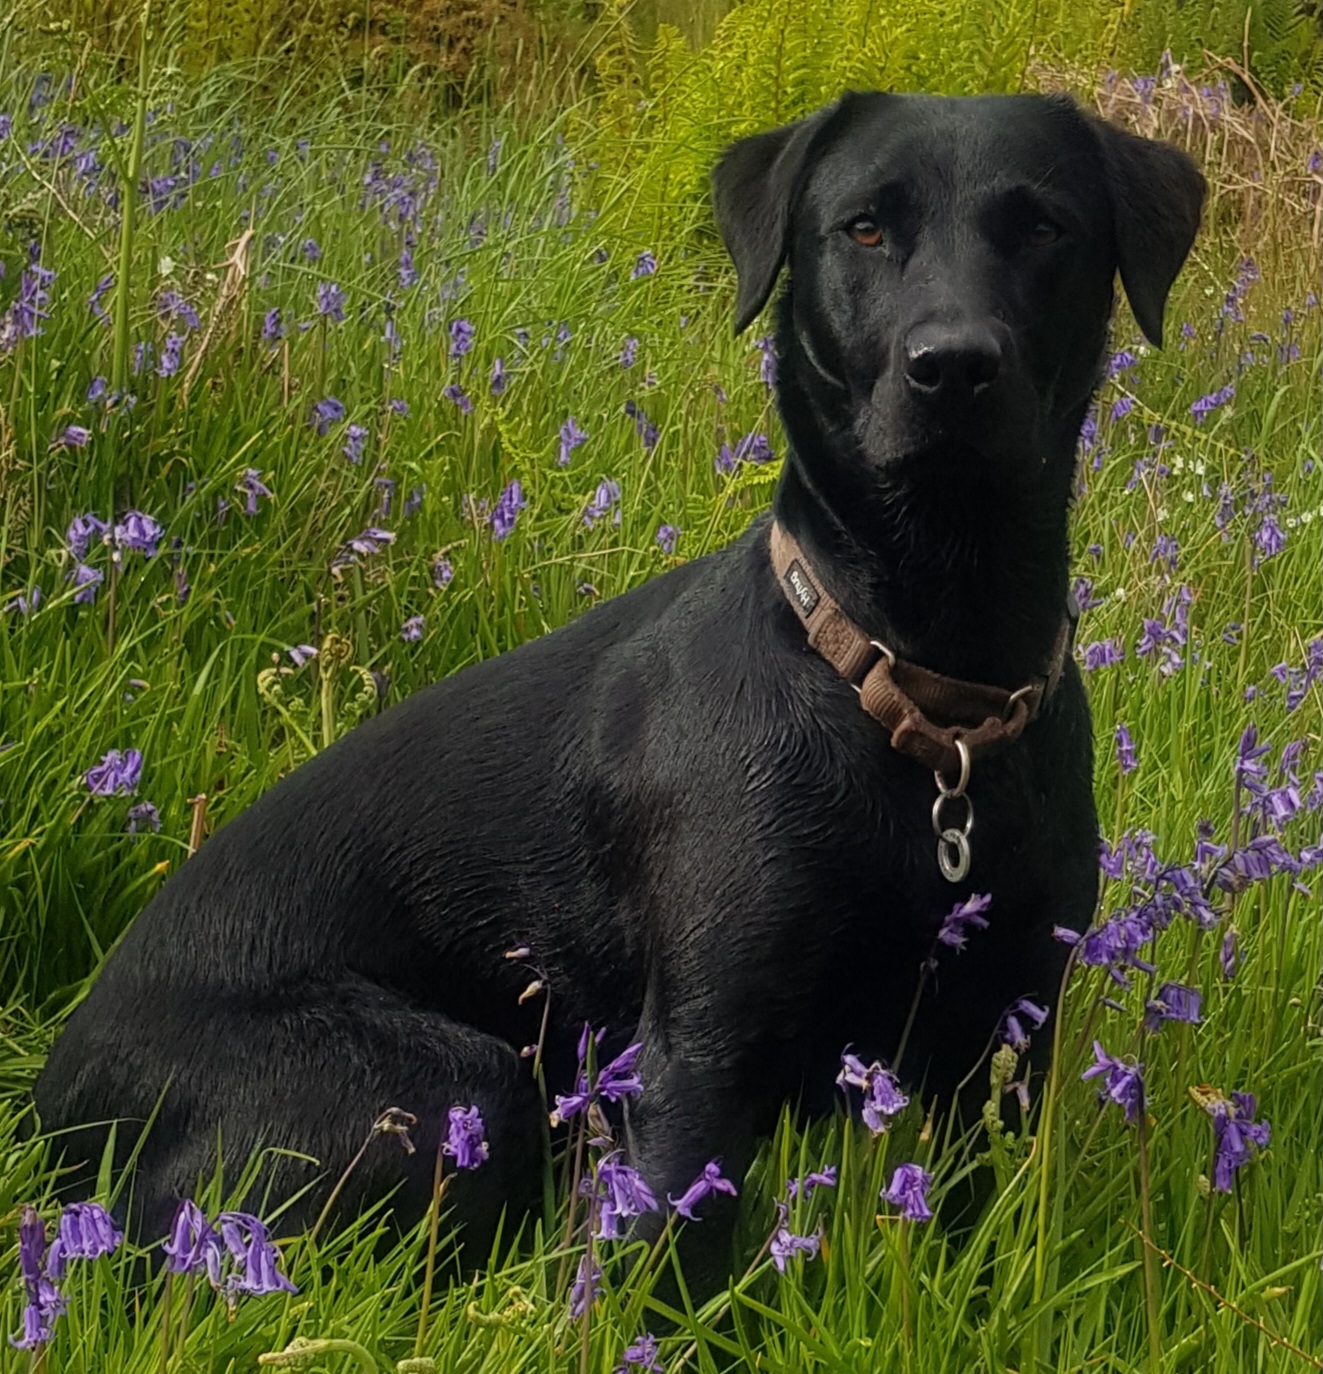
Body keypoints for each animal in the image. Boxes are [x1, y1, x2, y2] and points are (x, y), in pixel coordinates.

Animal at [36, 88, 1203, 1275]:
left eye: (1044, 228)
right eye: (866, 228)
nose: (953, 365)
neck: (918, 694)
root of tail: (55, 1101)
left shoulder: (1006, 1027)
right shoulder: (700, 1049)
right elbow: (671, 1265)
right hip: (443, 1082)